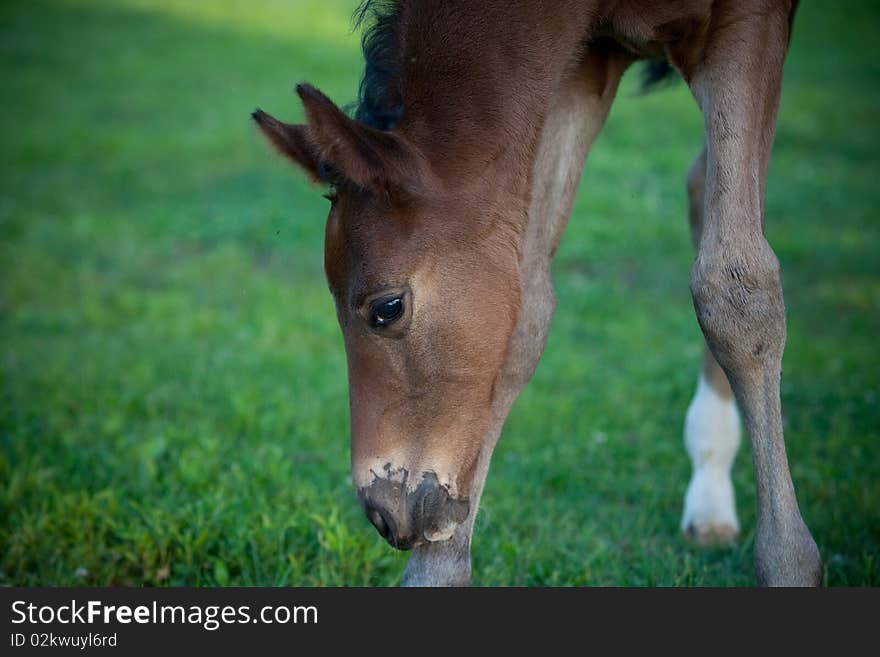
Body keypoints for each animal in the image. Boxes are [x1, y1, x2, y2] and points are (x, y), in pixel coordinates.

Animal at [254, 0, 824, 584]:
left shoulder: (749, 21)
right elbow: (524, 313)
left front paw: (789, 565)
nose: (384, 513)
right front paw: (436, 572)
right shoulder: (580, 63)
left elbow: (735, 290)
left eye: (387, 308)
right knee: (698, 184)